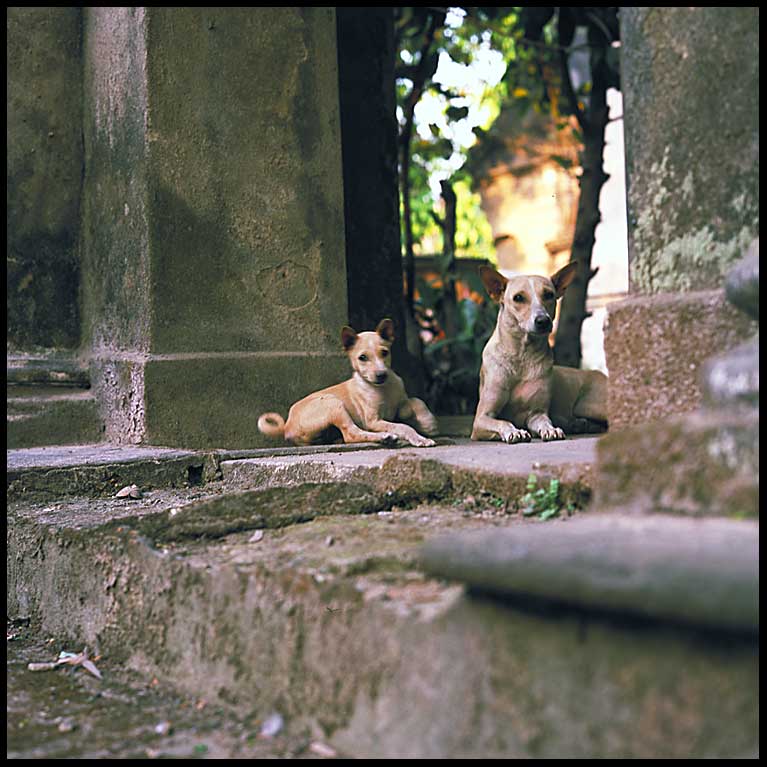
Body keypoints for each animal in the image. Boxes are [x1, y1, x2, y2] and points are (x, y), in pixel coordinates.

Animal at [258, 320, 438, 450]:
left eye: (385, 352)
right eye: (362, 358)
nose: (381, 375)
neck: (383, 388)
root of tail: (286, 425)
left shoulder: (402, 399)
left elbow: (416, 401)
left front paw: (428, 423)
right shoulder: (373, 421)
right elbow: (402, 426)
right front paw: (419, 437)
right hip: (333, 404)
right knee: (351, 434)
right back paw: (384, 437)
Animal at [472, 264, 608, 444]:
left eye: (549, 295)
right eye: (518, 298)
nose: (543, 321)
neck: (521, 356)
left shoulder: (536, 413)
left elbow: (544, 421)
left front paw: (551, 429)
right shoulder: (481, 418)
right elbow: (503, 421)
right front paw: (514, 431)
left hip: (593, 405)